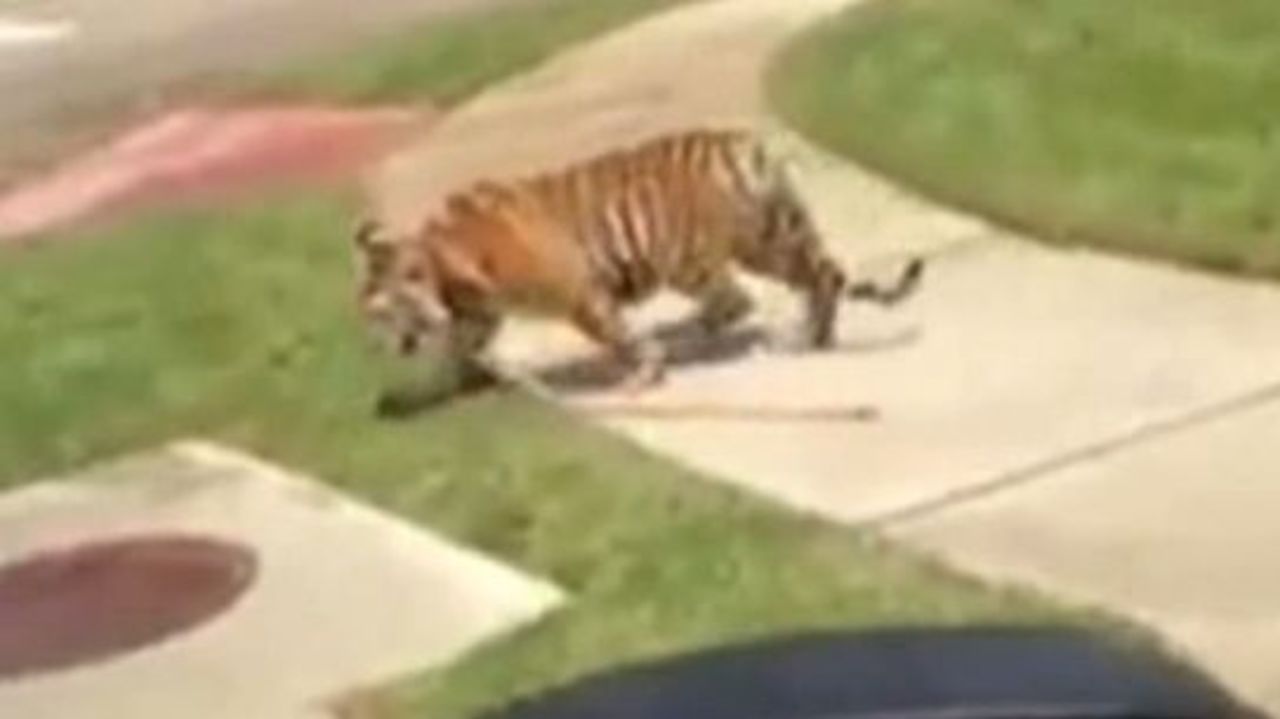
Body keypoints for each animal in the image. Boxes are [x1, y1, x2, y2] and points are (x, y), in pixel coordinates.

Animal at [352, 127, 924, 392]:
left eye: (384, 310)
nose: (390, 345)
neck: (444, 266)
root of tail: (745, 143)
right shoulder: (480, 313)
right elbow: (463, 346)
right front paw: (458, 384)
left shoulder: (578, 294)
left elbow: (615, 334)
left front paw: (641, 372)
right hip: (768, 240)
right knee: (823, 278)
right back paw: (813, 338)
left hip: (691, 257)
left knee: (734, 300)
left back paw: (700, 338)